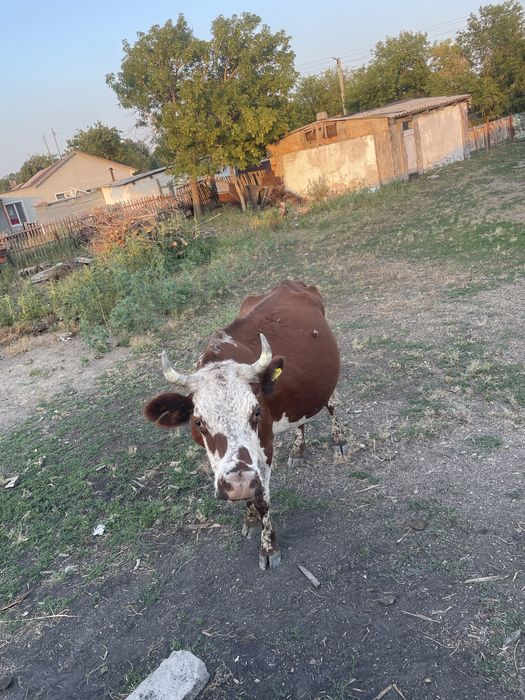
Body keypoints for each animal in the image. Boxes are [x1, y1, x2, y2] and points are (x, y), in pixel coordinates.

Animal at [144, 280, 349, 570]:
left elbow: (262, 499)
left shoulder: (264, 448)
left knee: (331, 404)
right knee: (301, 419)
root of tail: (292, 283)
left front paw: (269, 547)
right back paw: (298, 449)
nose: (239, 482)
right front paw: (249, 519)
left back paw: (339, 439)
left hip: (326, 384)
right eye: (198, 421)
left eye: (256, 412)